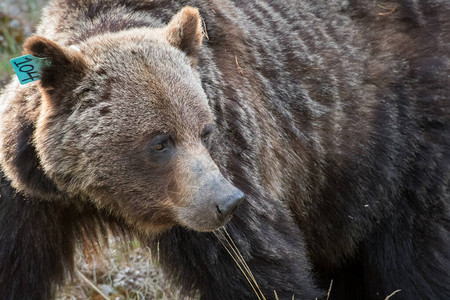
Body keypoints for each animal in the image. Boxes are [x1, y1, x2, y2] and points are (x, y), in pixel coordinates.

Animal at [0, 0, 450, 298]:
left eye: (205, 130)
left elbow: (260, 269)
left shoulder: (236, 167)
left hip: (398, 134)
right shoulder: (27, 202)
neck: (94, 197)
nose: (226, 202)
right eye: (160, 142)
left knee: (416, 248)